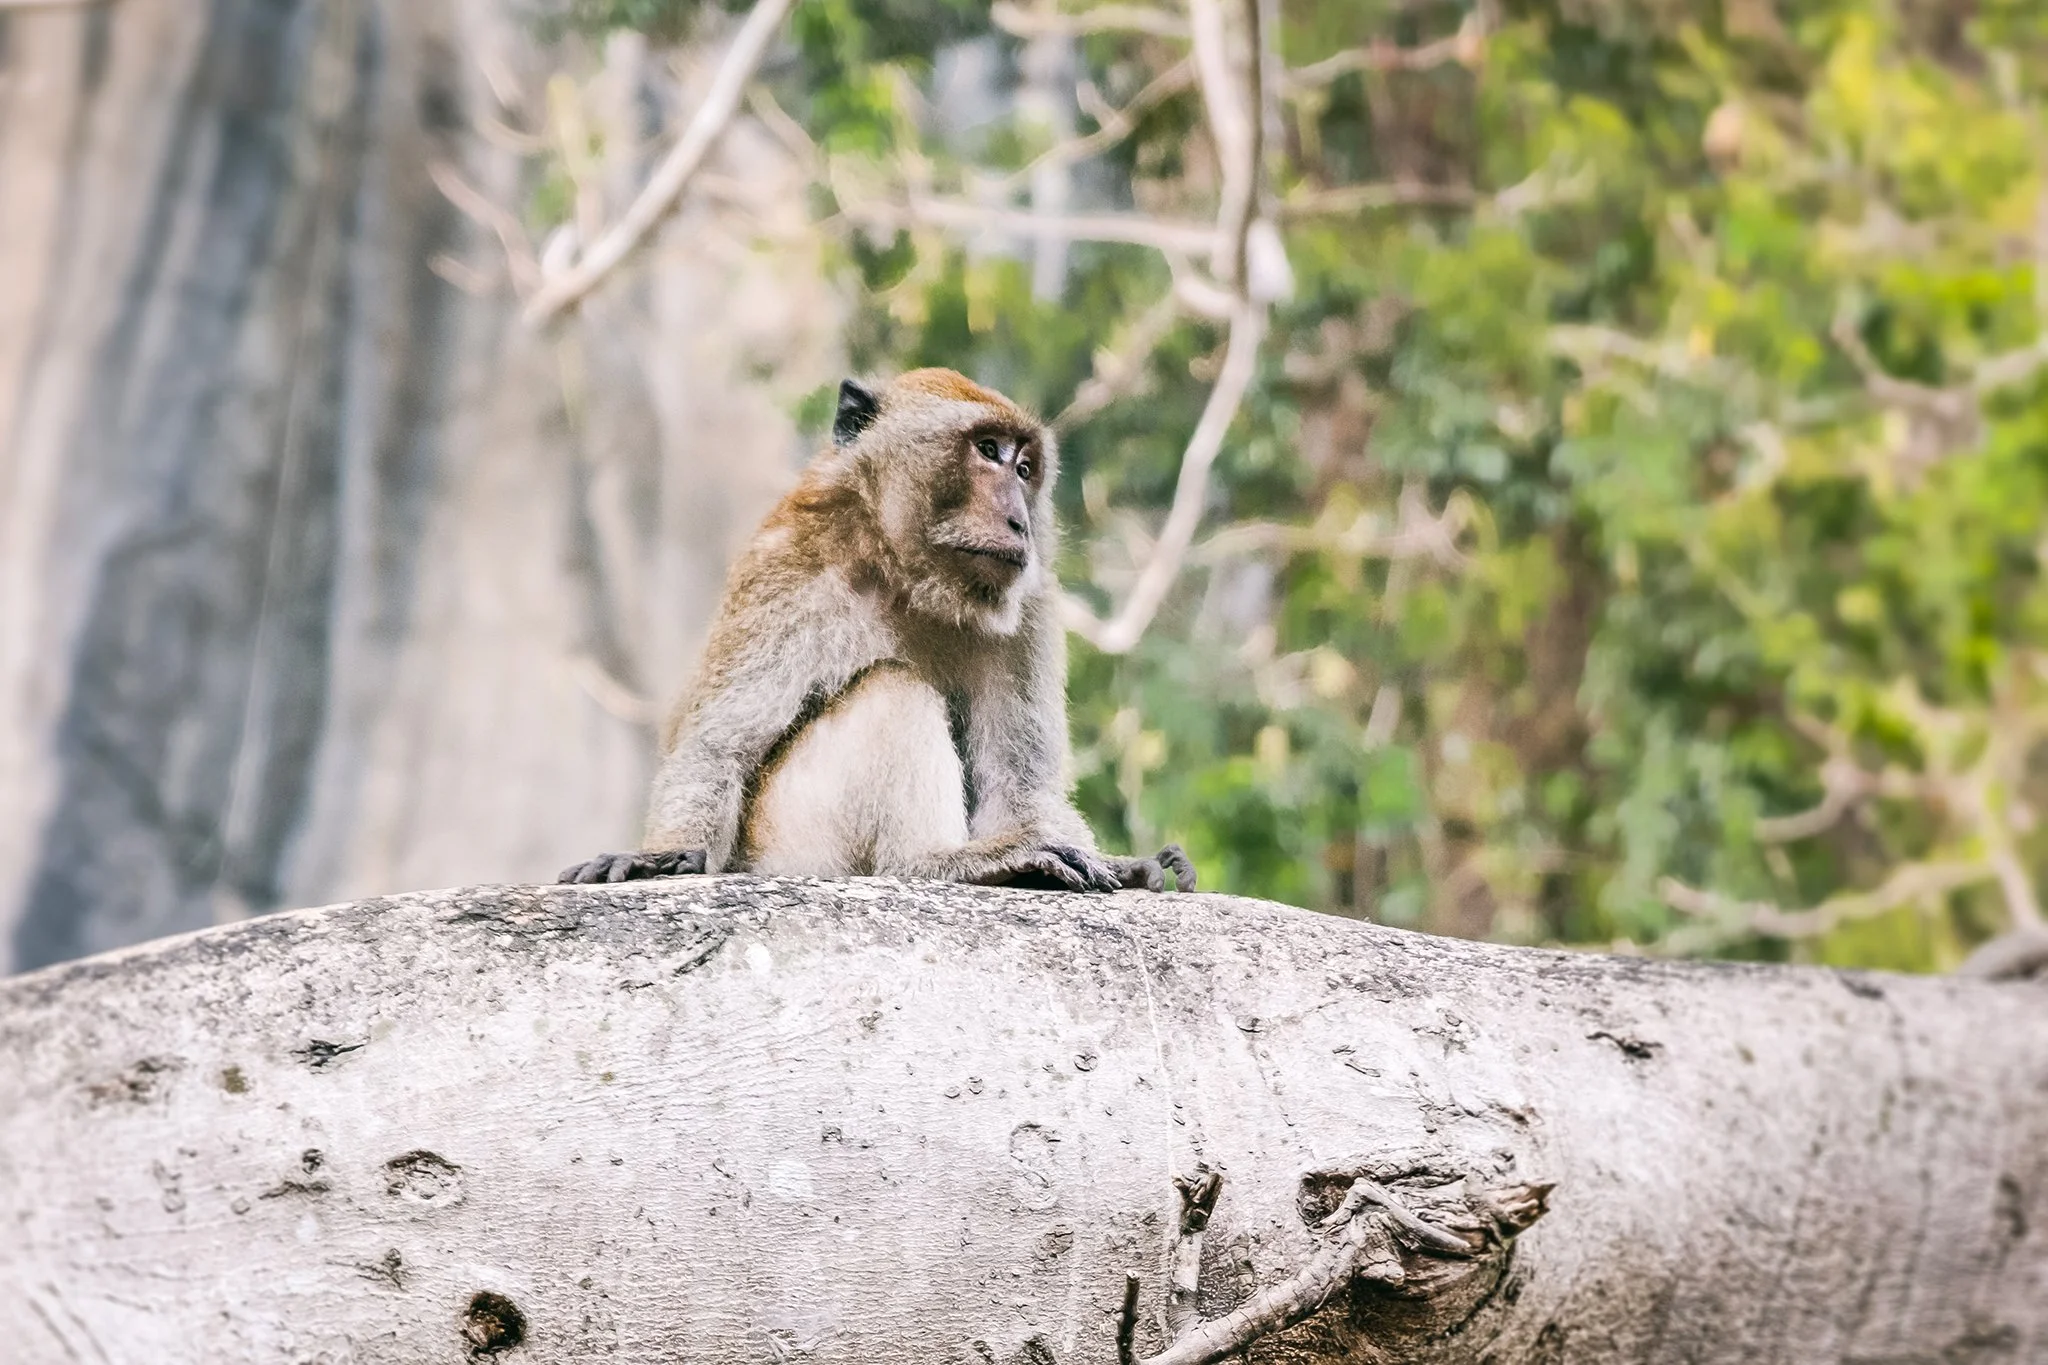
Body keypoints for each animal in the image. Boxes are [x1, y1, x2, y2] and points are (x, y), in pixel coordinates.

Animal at [558, 368, 1196, 895]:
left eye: (1023, 469)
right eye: (988, 450)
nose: (1020, 521)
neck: (904, 573)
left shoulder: (1031, 607)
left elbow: (1019, 782)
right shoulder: (788, 568)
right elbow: (719, 746)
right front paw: (663, 858)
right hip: (787, 844)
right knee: (890, 686)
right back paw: (931, 861)